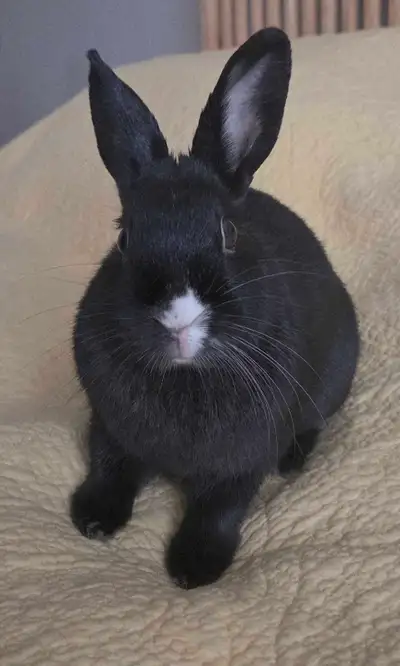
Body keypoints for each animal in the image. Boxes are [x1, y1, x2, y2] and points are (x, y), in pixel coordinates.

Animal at [70, 28, 359, 589]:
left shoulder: (242, 462)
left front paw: (194, 567)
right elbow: (109, 465)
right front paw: (91, 519)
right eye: (125, 238)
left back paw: (293, 461)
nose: (177, 319)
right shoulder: (109, 426)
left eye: (228, 234)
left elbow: (219, 508)